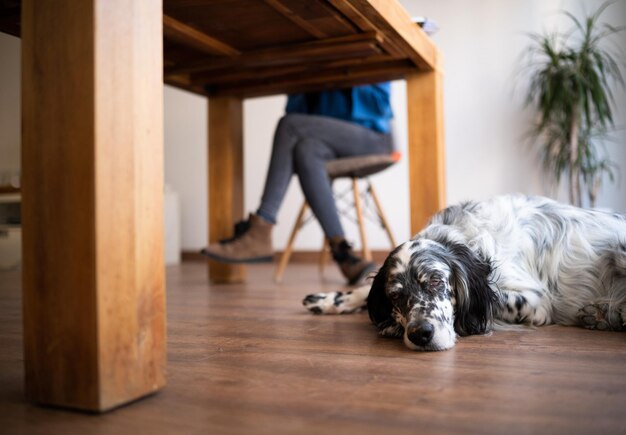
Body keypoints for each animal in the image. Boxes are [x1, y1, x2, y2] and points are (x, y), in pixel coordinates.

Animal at [302, 196, 624, 352]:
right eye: (395, 296)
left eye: (436, 282)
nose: (420, 334)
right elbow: (363, 291)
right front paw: (330, 300)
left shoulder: (538, 303)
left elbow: (496, 299)